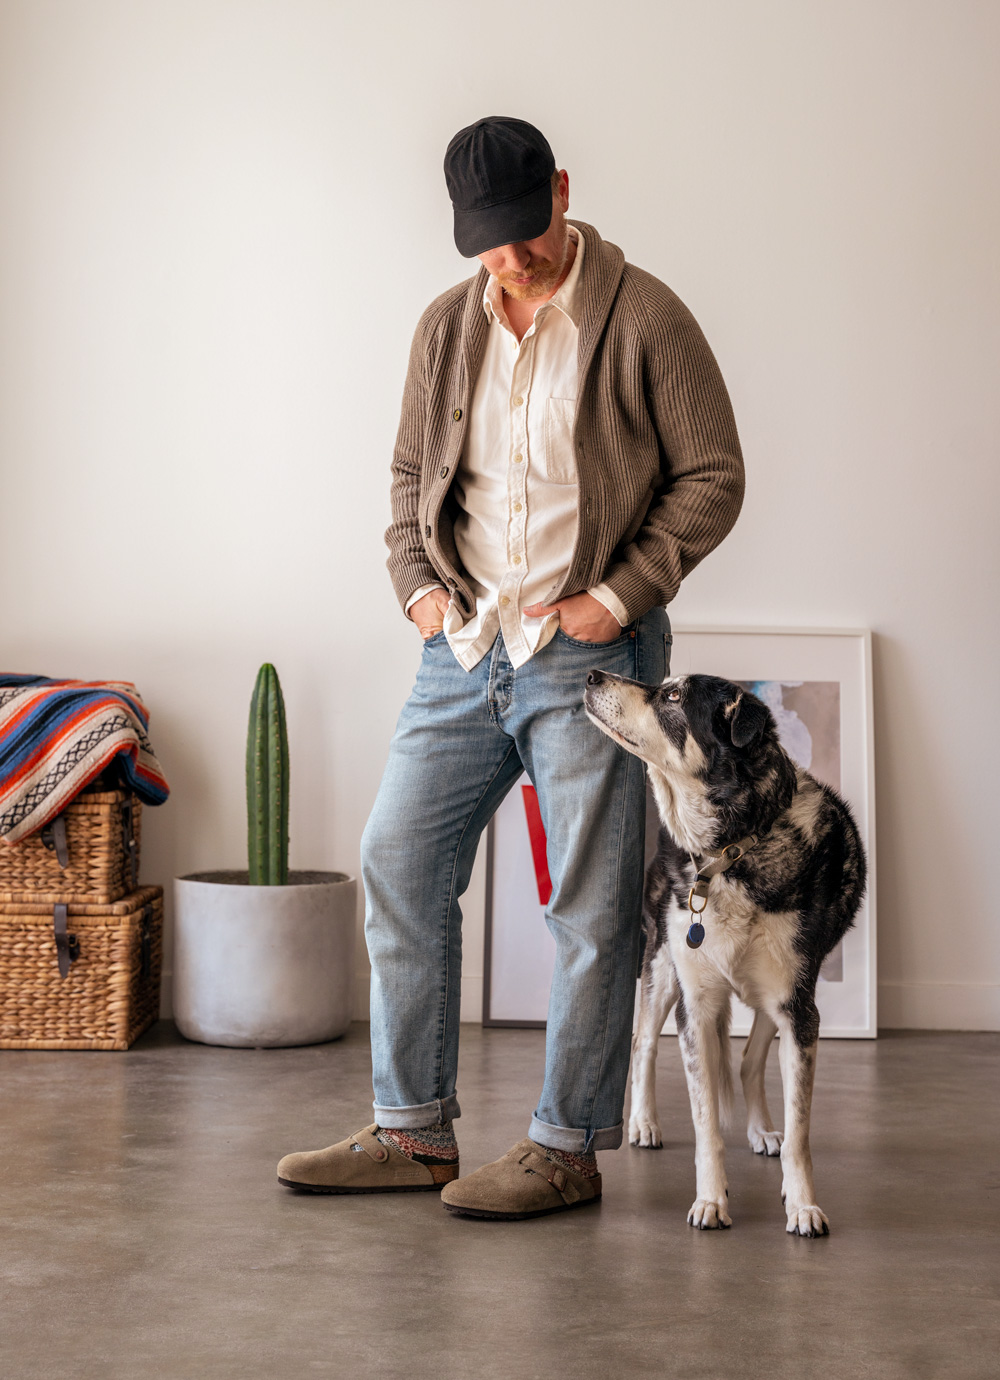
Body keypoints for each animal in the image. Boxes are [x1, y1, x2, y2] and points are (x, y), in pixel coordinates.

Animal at [584, 670, 866, 1242]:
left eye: (672, 696)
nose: (592, 674)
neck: (730, 851)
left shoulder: (798, 1008)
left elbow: (800, 1129)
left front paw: (803, 1204)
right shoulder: (696, 1004)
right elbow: (705, 1122)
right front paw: (711, 1199)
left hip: (779, 996)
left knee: (751, 1059)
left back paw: (762, 1130)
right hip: (661, 965)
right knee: (644, 1041)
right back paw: (643, 1122)